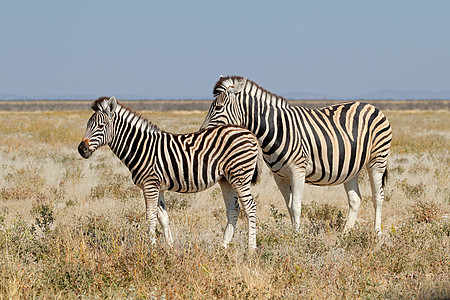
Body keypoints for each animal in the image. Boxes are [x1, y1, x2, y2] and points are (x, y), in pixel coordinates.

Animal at [77, 97, 260, 250]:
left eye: (100, 126)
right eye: (87, 125)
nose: (81, 149)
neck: (141, 147)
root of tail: (248, 132)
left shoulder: (150, 185)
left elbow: (150, 216)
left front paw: (152, 249)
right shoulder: (158, 188)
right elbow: (163, 218)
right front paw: (170, 248)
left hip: (240, 176)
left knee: (250, 208)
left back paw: (251, 250)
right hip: (226, 179)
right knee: (233, 210)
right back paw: (223, 248)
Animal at [202, 75, 392, 234]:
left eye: (218, 107)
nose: (202, 132)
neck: (276, 129)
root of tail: (371, 106)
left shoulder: (297, 171)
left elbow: (296, 206)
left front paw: (297, 237)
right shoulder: (280, 176)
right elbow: (289, 207)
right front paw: (294, 234)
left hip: (377, 160)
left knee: (378, 197)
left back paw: (377, 234)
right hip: (351, 168)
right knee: (355, 200)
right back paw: (346, 234)